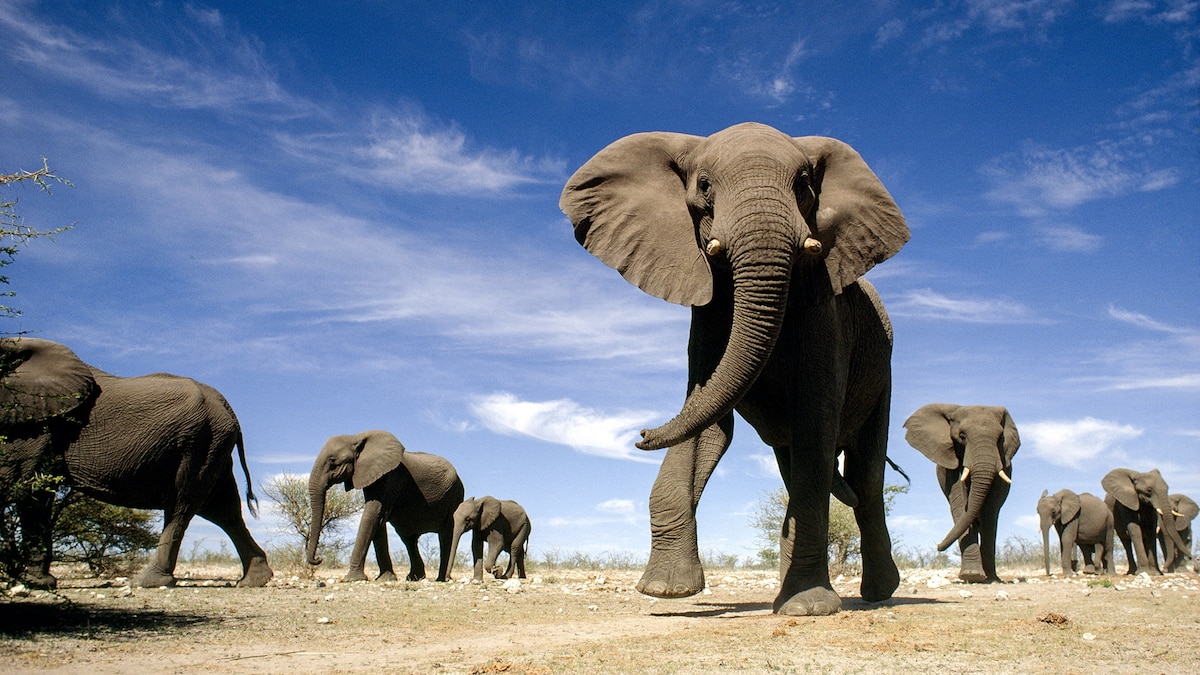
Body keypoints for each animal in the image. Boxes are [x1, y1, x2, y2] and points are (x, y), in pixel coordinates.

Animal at [0, 337, 272, 589]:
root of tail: (228, 408)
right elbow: (33, 493)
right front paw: (38, 583)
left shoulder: (39, 421)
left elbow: (22, 486)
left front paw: (33, 584)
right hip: (213, 447)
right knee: (223, 510)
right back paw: (254, 580)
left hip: (199, 444)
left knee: (181, 506)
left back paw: (148, 582)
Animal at [306, 430, 465, 582]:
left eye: (332, 461)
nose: (319, 559)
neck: (355, 437)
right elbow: (377, 520)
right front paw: (385, 578)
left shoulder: (390, 477)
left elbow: (372, 515)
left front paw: (352, 579)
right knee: (408, 538)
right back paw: (415, 578)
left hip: (454, 496)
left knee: (445, 536)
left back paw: (441, 579)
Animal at [560, 122, 910, 615]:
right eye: (704, 186)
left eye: (804, 184)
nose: (641, 433)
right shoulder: (706, 315)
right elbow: (706, 419)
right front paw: (666, 589)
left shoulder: (826, 314)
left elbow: (815, 425)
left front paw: (808, 608)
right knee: (797, 466)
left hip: (884, 369)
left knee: (864, 473)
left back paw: (878, 593)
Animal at [904, 403, 1020, 583]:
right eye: (962, 436)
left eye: (1001, 438)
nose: (938, 547)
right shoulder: (951, 462)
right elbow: (959, 502)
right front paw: (971, 575)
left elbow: (989, 510)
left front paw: (987, 579)